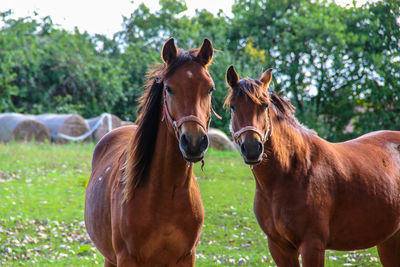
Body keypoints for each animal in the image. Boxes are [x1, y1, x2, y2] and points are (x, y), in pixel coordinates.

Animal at [84, 38, 219, 267]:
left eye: (210, 89)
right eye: (169, 89)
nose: (194, 142)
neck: (167, 193)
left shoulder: (186, 258)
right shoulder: (126, 258)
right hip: (109, 258)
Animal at [225, 65, 400, 267]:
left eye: (265, 105)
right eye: (233, 106)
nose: (252, 149)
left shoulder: (312, 245)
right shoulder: (279, 247)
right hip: (389, 241)